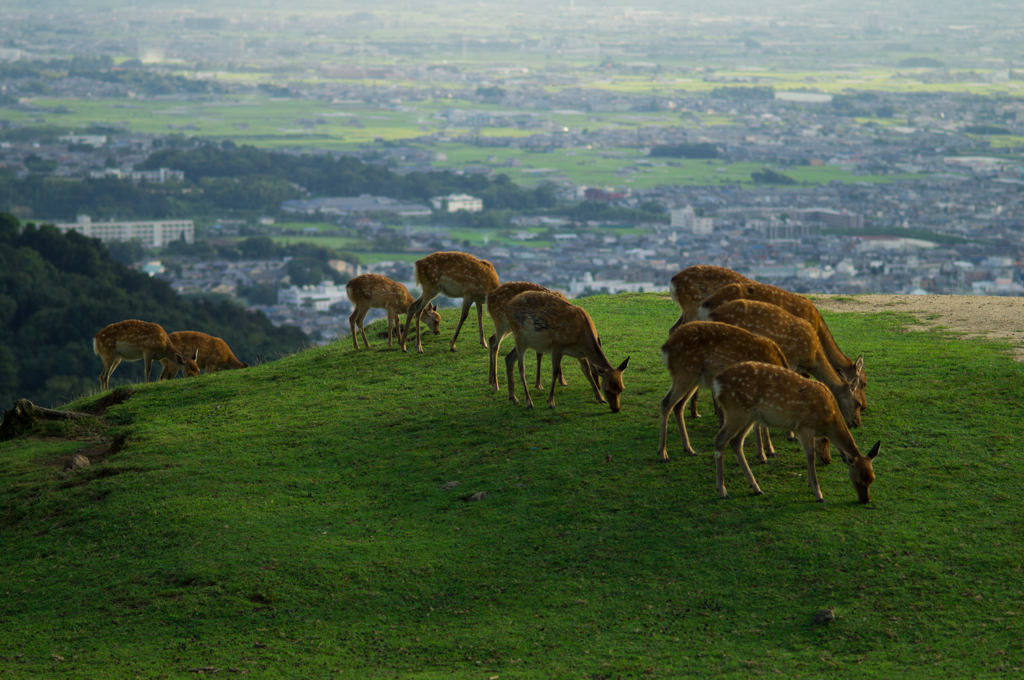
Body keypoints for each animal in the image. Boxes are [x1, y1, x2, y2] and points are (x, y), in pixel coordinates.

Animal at [655, 323, 790, 462]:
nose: (793, 437)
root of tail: (665, 347)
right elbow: (758, 425)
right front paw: (763, 456)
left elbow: (761, 424)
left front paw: (770, 451)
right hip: (684, 372)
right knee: (665, 403)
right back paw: (663, 454)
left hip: (694, 379)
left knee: (678, 405)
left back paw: (689, 449)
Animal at [712, 364, 880, 501]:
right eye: (858, 479)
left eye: (872, 478)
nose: (866, 499)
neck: (828, 419)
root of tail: (717, 383)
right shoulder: (805, 426)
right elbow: (811, 456)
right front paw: (818, 494)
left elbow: (808, 456)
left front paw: (810, 486)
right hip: (737, 410)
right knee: (720, 439)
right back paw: (722, 491)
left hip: (749, 416)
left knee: (736, 441)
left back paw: (756, 488)